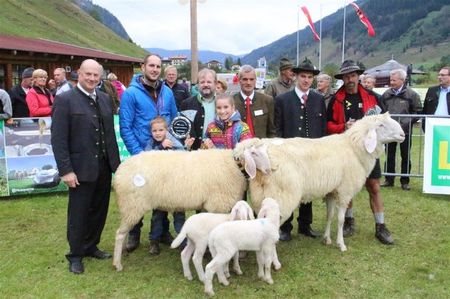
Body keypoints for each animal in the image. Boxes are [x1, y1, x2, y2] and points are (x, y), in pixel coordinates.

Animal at [112, 148, 270, 272]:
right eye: (254, 153)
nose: (269, 169)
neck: (233, 166)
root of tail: (120, 170)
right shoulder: (217, 204)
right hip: (132, 206)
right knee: (119, 234)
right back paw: (117, 263)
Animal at [234, 112, 406, 253]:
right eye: (381, 125)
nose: (403, 134)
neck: (354, 148)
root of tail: (252, 150)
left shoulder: (331, 191)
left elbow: (330, 215)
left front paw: (327, 239)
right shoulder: (344, 191)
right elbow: (341, 219)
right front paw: (341, 244)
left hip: (260, 194)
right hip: (281, 197)